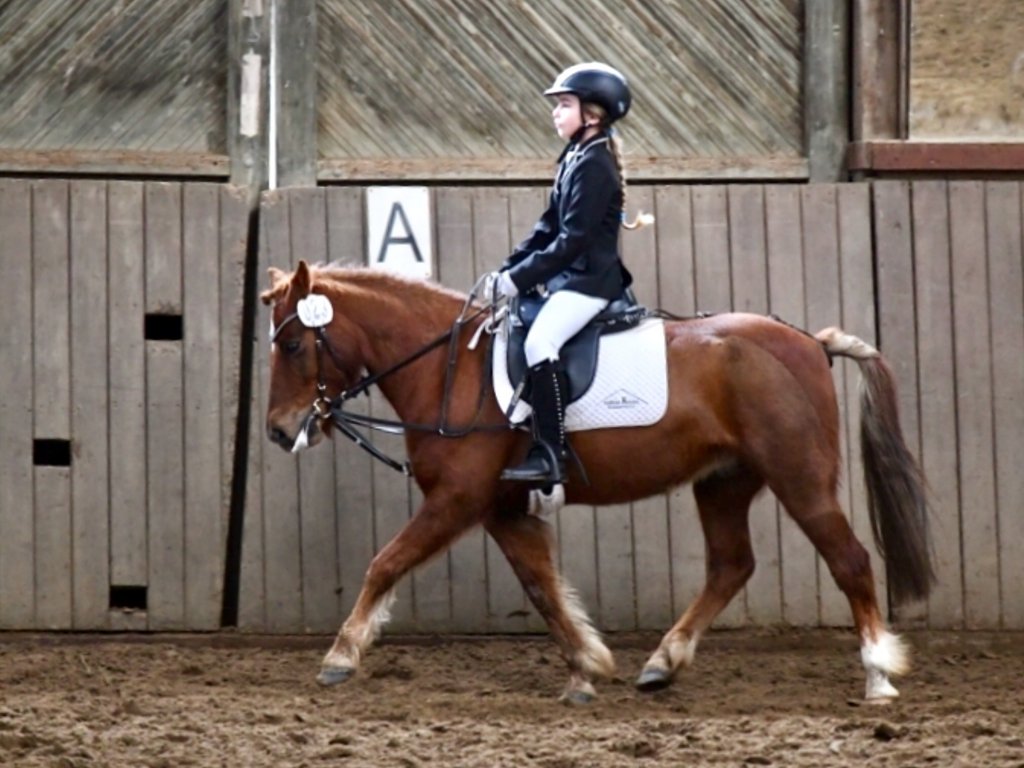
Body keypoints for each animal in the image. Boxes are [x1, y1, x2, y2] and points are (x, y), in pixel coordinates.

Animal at [260, 262, 933, 708]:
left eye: (292, 343)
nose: (278, 430)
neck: (448, 370)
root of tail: (809, 343)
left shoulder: (456, 500)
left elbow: (386, 563)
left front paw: (340, 657)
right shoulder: (503, 509)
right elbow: (542, 588)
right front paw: (587, 667)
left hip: (800, 478)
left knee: (849, 560)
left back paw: (878, 674)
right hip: (722, 482)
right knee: (731, 565)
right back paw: (662, 663)